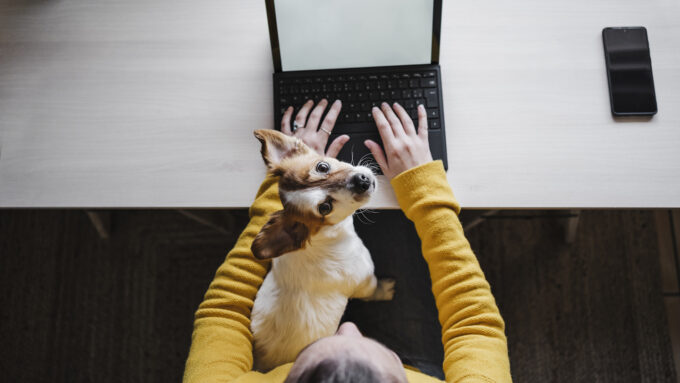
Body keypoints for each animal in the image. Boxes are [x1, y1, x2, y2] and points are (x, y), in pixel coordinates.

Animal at [248, 130, 394, 372]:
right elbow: (375, 290)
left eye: (322, 166)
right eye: (325, 208)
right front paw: (386, 290)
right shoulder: (364, 282)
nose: (361, 181)